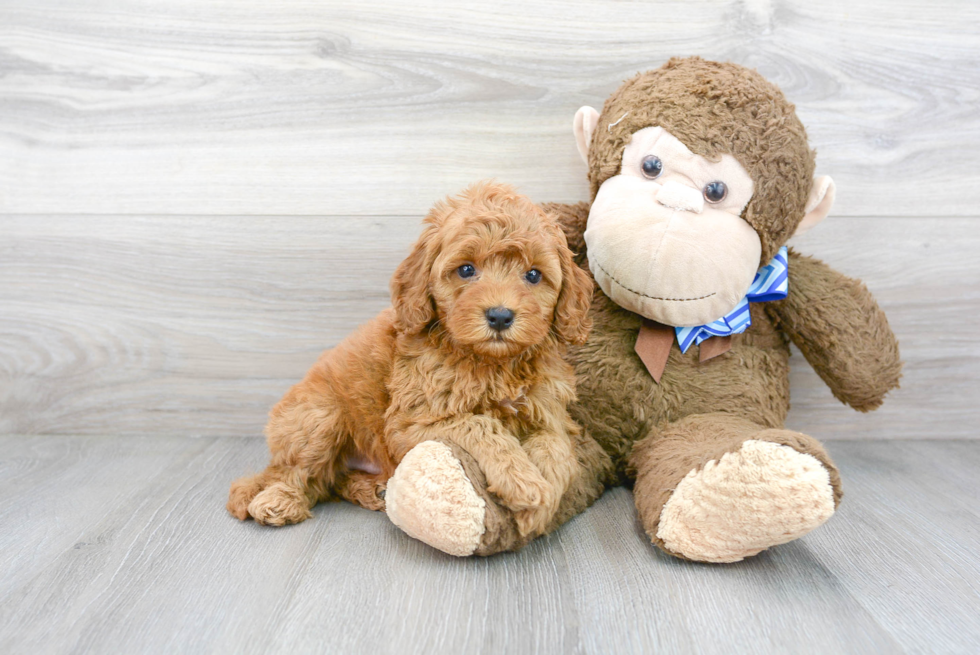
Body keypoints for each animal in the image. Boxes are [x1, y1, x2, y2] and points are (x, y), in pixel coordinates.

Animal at [230, 183, 592, 540]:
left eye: (533, 275)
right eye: (466, 269)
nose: (500, 316)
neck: (491, 362)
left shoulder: (550, 412)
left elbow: (556, 447)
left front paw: (544, 499)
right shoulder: (410, 425)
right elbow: (479, 424)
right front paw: (524, 483)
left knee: (329, 482)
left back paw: (373, 490)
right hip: (318, 417)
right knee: (293, 474)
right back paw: (279, 501)